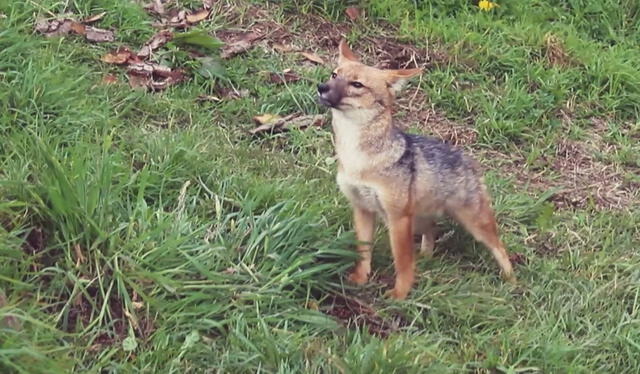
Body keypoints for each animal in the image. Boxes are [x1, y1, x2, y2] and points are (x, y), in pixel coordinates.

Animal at [318, 39, 516, 300]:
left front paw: (399, 295)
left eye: (357, 84)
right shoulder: (362, 208)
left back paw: (512, 281)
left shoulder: (397, 218)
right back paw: (426, 257)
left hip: (475, 224)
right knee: (431, 230)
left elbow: (402, 262)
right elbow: (363, 252)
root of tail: (466, 157)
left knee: (500, 248)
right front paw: (360, 279)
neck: (358, 159)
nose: (321, 87)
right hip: (420, 219)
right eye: (334, 75)